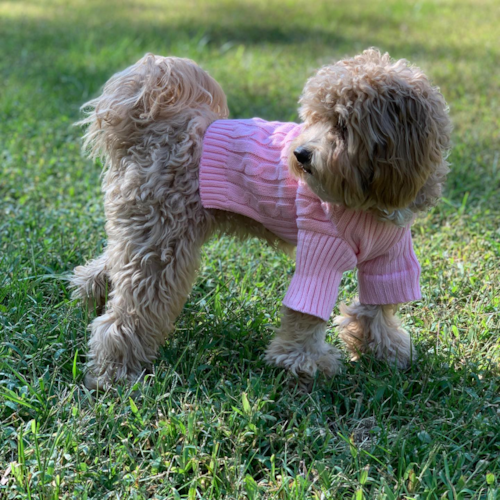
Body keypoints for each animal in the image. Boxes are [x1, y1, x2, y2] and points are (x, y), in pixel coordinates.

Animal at [72, 47, 452, 390]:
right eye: (314, 118)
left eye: (342, 125)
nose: (300, 155)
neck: (370, 199)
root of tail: (153, 127)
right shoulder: (320, 250)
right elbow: (306, 312)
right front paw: (302, 362)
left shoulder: (390, 255)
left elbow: (380, 304)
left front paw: (385, 349)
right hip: (161, 241)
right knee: (129, 312)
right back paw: (114, 372)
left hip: (150, 232)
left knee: (111, 265)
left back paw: (90, 294)